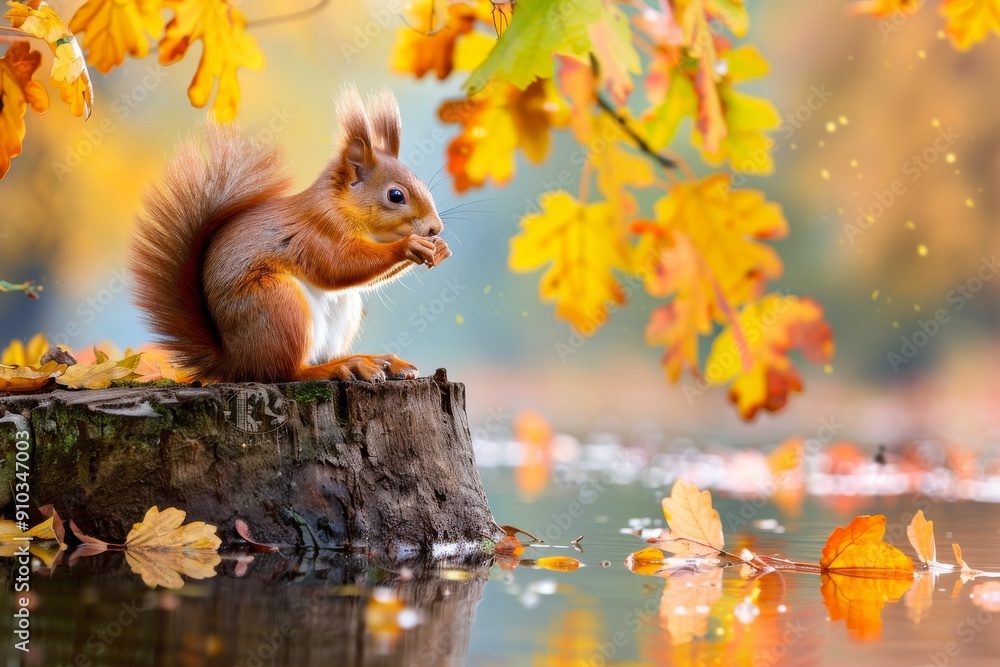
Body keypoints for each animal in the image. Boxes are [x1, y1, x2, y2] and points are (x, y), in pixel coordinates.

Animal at [129, 85, 451, 384]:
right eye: (395, 195)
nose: (435, 228)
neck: (339, 206)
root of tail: (236, 363)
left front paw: (440, 249)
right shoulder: (316, 233)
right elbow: (340, 266)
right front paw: (410, 246)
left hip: (342, 309)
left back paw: (372, 360)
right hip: (278, 303)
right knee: (286, 372)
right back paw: (344, 367)